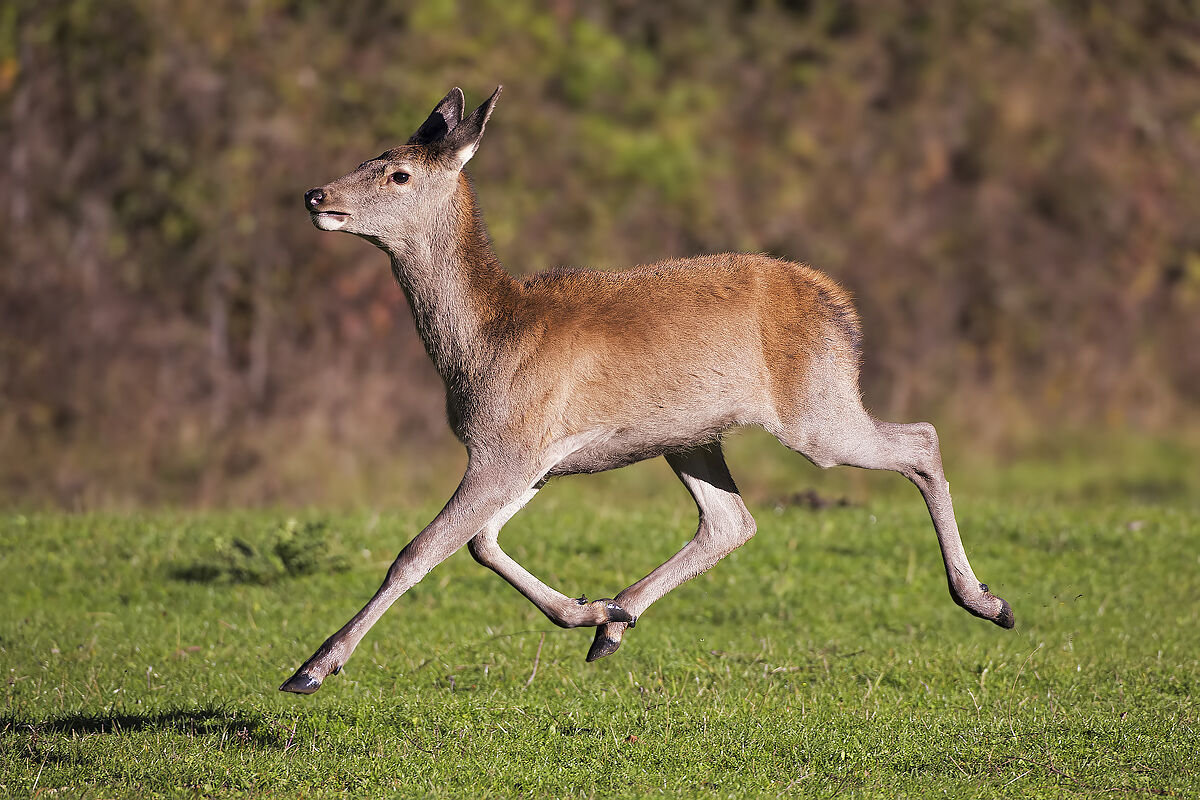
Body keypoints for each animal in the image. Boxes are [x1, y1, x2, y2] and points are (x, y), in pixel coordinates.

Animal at [280, 86, 1014, 695]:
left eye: (398, 173)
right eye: (373, 153)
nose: (315, 195)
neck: (486, 342)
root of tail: (844, 307)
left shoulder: (509, 445)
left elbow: (417, 552)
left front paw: (312, 668)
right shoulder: (533, 455)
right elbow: (482, 543)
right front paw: (588, 610)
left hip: (816, 406)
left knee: (921, 438)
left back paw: (989, 601)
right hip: (691, 434)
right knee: (731, 521)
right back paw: (615, 622)